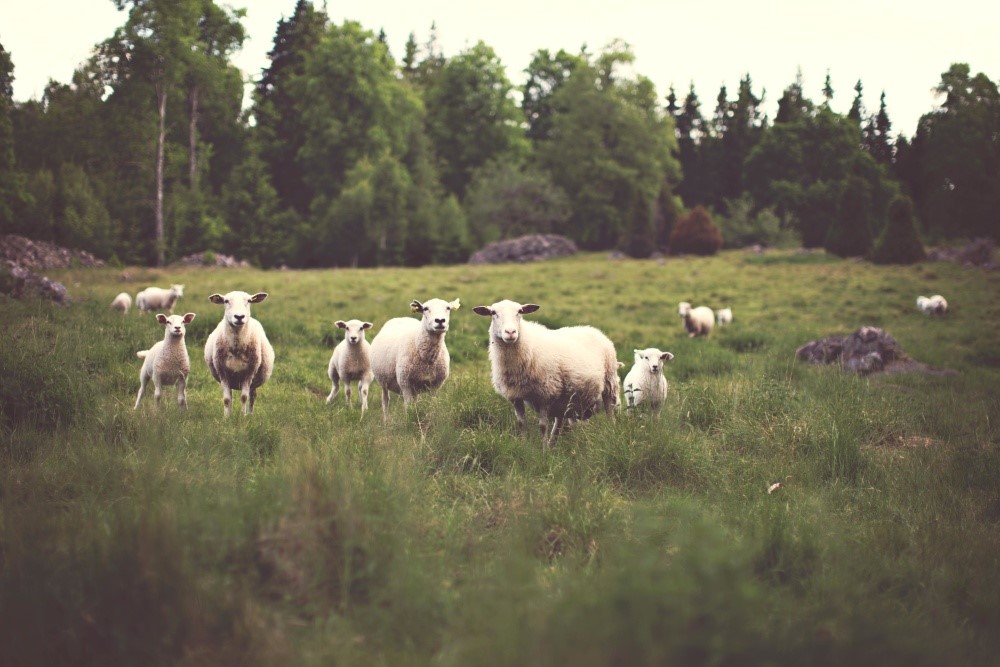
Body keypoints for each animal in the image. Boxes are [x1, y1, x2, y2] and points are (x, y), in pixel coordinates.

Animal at [472, 300, 620, 446]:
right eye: (493, 313)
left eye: (520, 311)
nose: (510, 332)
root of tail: (594, 330)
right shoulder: (515, 396)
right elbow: (521, 424)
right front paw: (524, 446)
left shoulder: (545, 394)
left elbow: (543, 426)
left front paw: (543, 451)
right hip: (567, 398)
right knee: (561, 421)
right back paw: (553, 444)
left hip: (609, 381)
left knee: (609, 411)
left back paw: (611, 433)